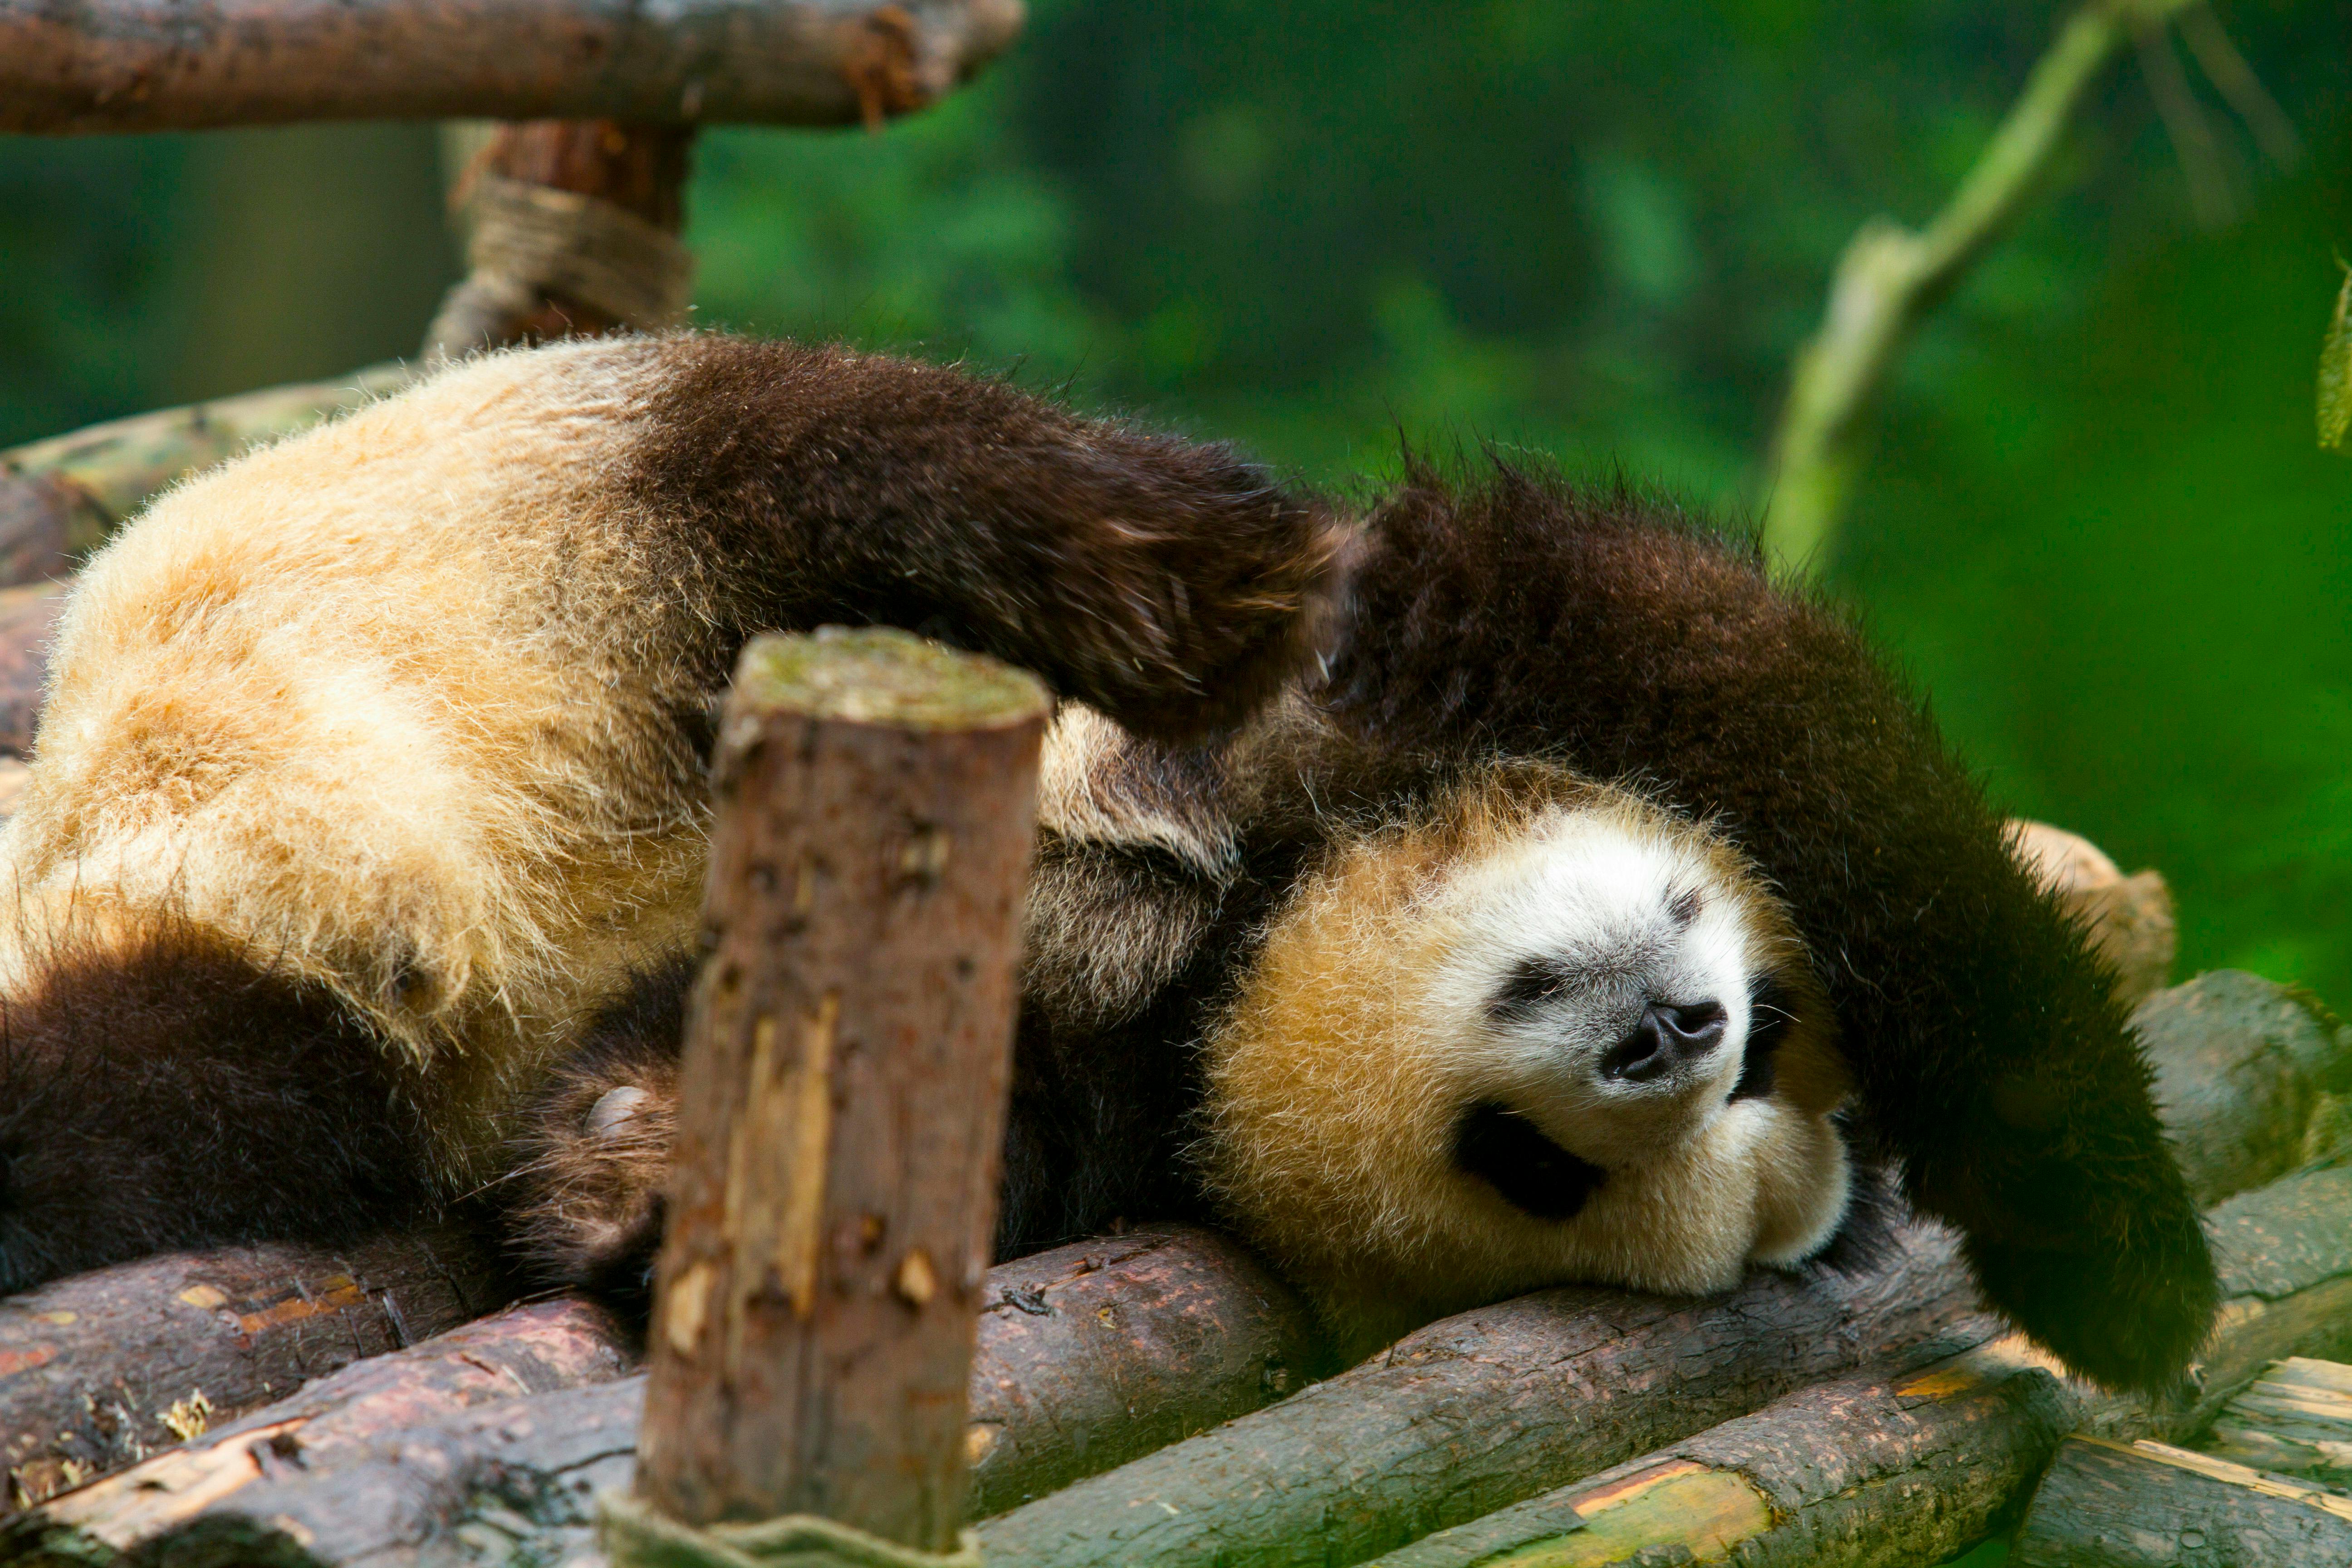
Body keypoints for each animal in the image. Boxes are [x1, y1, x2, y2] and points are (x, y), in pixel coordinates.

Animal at [0, 335, 2213, 1397]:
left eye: (1542, 1171)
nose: (1668, 1031)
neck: (1237, 944)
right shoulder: (1414, 693)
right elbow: (1762, 708)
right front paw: (2128, 1275)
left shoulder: (1081, 1085)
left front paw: (654, 1184)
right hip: (547, 513)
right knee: (885, 461)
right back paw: (1198, 575)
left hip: (282, 1023)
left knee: (159, 1098)